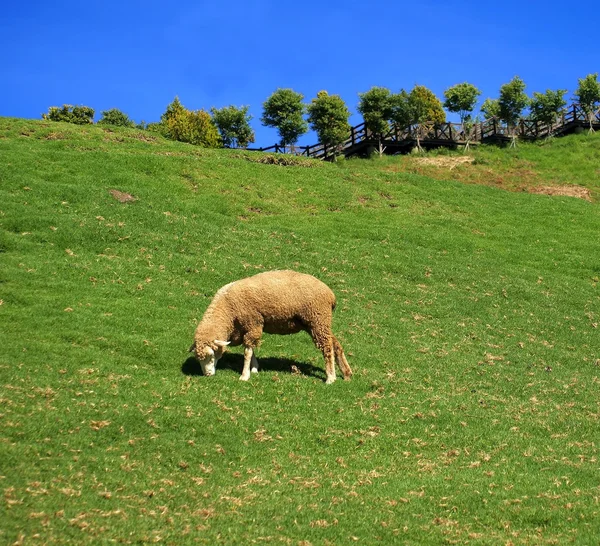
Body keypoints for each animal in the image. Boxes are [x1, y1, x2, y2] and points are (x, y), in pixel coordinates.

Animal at [191, 268, 352, 382]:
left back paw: (330, 377)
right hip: (317, 323)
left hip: (317, 319)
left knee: (327, 346)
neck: (228, 310)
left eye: (211, 356)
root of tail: (330, 294)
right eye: (198, 359)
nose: (207, 375)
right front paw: (254, 368)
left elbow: (247, 351)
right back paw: (346, 373)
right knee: (335, 343)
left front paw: (245, 375)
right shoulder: (246, 328)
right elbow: (250, 348)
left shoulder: (253, 323)